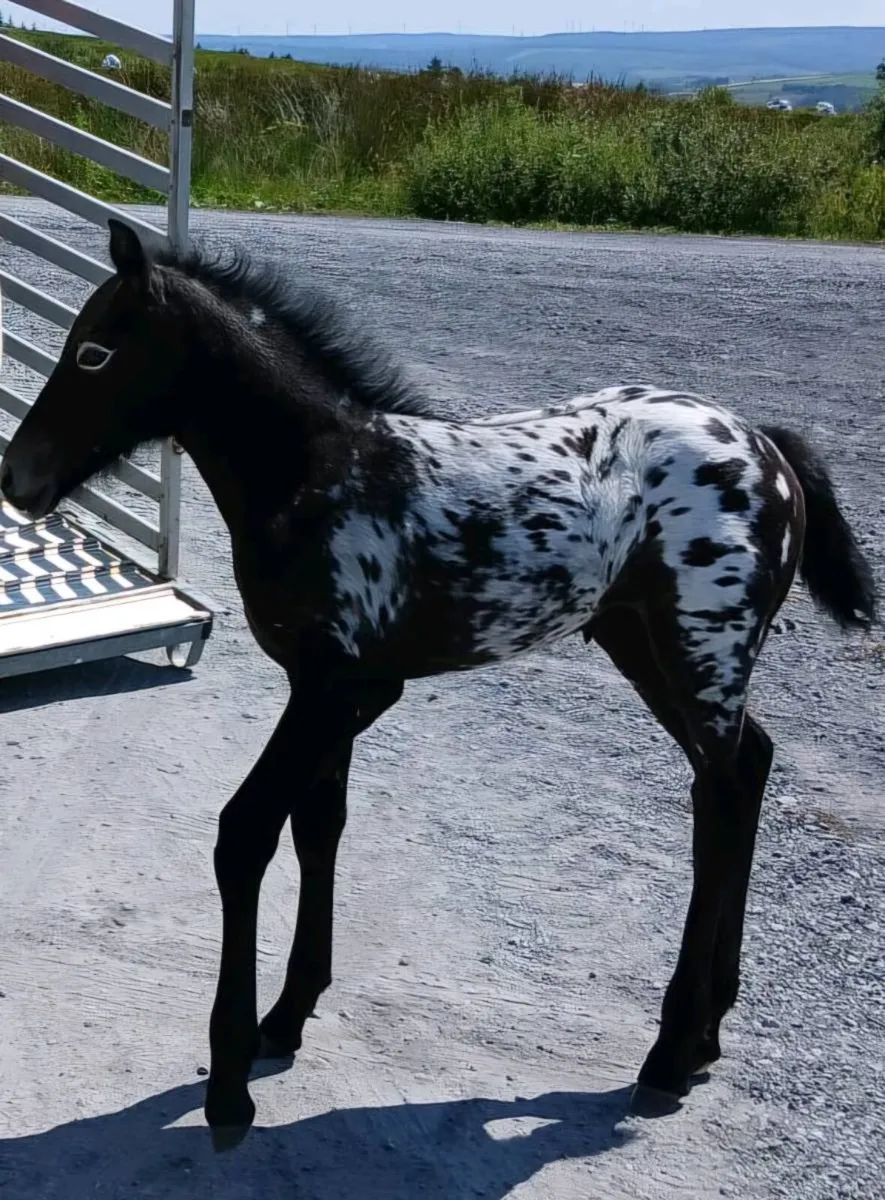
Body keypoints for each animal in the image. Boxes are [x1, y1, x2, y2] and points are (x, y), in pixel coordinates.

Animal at [1, 218, 876, 1149]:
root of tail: (763, 443)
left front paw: (229, 1088)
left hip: (700, 646)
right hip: (641, 645)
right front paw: (288, 1017)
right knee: (747, 770)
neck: (317, 476)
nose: (17, 478)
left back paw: (670, 1053)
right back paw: (708, 1031)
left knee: (718, 800)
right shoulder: (341, 690)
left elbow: (245, 836)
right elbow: (318, 826)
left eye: (94, 353)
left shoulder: (328, 691)